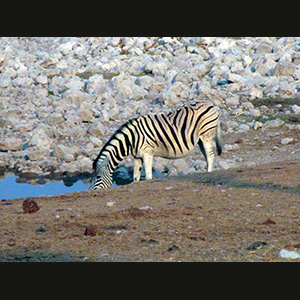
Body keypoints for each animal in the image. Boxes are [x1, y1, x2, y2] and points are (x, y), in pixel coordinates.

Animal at [91, 101, 223, 190]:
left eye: (98, 177)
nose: (92, 192)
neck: (131, 139)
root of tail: (210, 104)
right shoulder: (137, 156)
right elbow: (135, 177)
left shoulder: (147, 153)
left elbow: (148, 176)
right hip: (200, 140)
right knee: (207, 157)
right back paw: (206, 172)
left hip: (206, 135)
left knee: (210, 156)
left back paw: (209, 173)